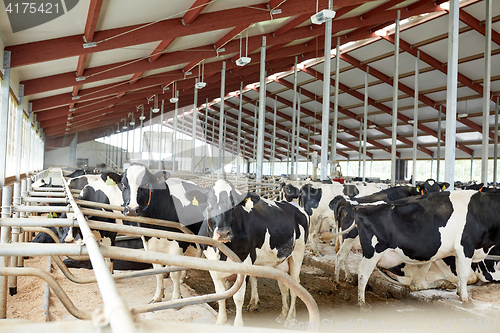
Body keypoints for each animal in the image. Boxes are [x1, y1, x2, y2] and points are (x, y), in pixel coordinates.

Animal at [119, 162, 207, 302]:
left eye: (146, 183)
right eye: (122, 184)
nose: (132, 209)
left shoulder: (180, 243)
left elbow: (174, 273)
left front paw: (176, 298)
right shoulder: (149, 244)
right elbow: (157, 272)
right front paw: (158, 296)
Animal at [194, 178, 308, 326]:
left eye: (234, 205)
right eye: (209, 204)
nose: (223, 233)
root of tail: (295, 206)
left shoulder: (244, 262)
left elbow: (238, 296)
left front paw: (238, 324)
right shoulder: (212, 264)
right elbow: (220, 293)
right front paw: (221, 320)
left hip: (298, 253)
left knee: (295, 286)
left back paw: (289, 319)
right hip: (280, 260)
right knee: (283, 284)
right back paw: (283, 314)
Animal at [354, 189, 500, 306]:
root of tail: (361, 209)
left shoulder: (459, 252)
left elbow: (459, 273)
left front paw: (459, 292)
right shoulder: (466, 248)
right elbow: (463, 275)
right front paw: (466, 300)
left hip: (424, 259)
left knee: (416, 284)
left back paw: (444, 283)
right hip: (373, 252)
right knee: (363, 274)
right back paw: (362, 305)